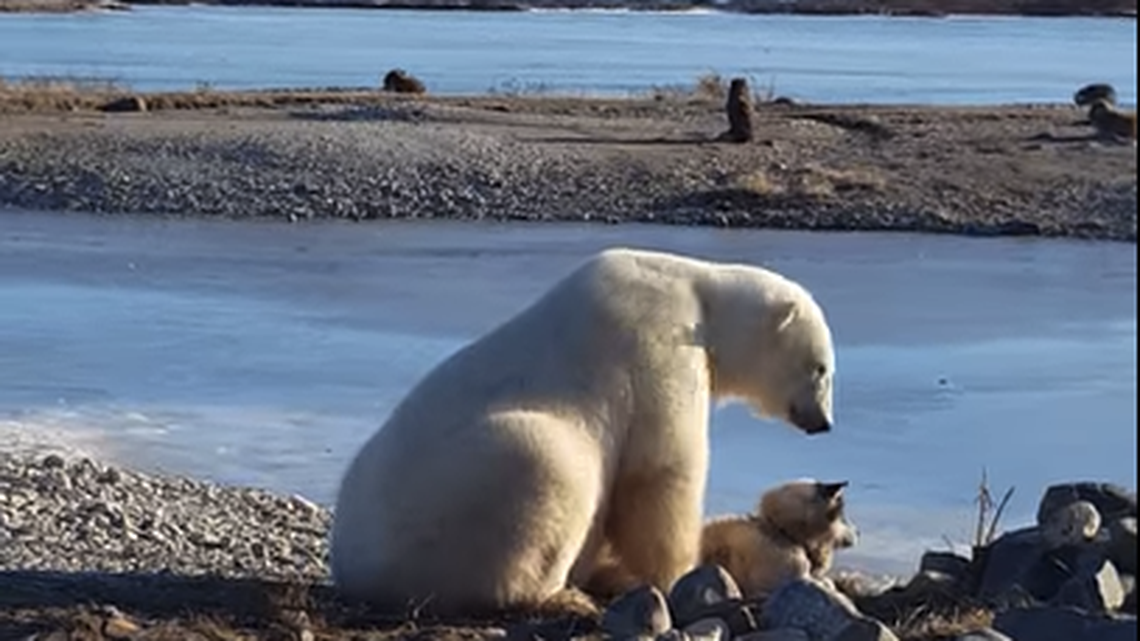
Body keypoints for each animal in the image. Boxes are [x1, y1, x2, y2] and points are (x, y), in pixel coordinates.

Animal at [329, 247, 837, 615]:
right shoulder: (659, 348)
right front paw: (679, 572)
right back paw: (561, 594)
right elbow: (659, 471)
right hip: (460, 499)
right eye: (821, 368)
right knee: (547, 462)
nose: (823, 423)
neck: (699, 297)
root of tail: (357, 571)